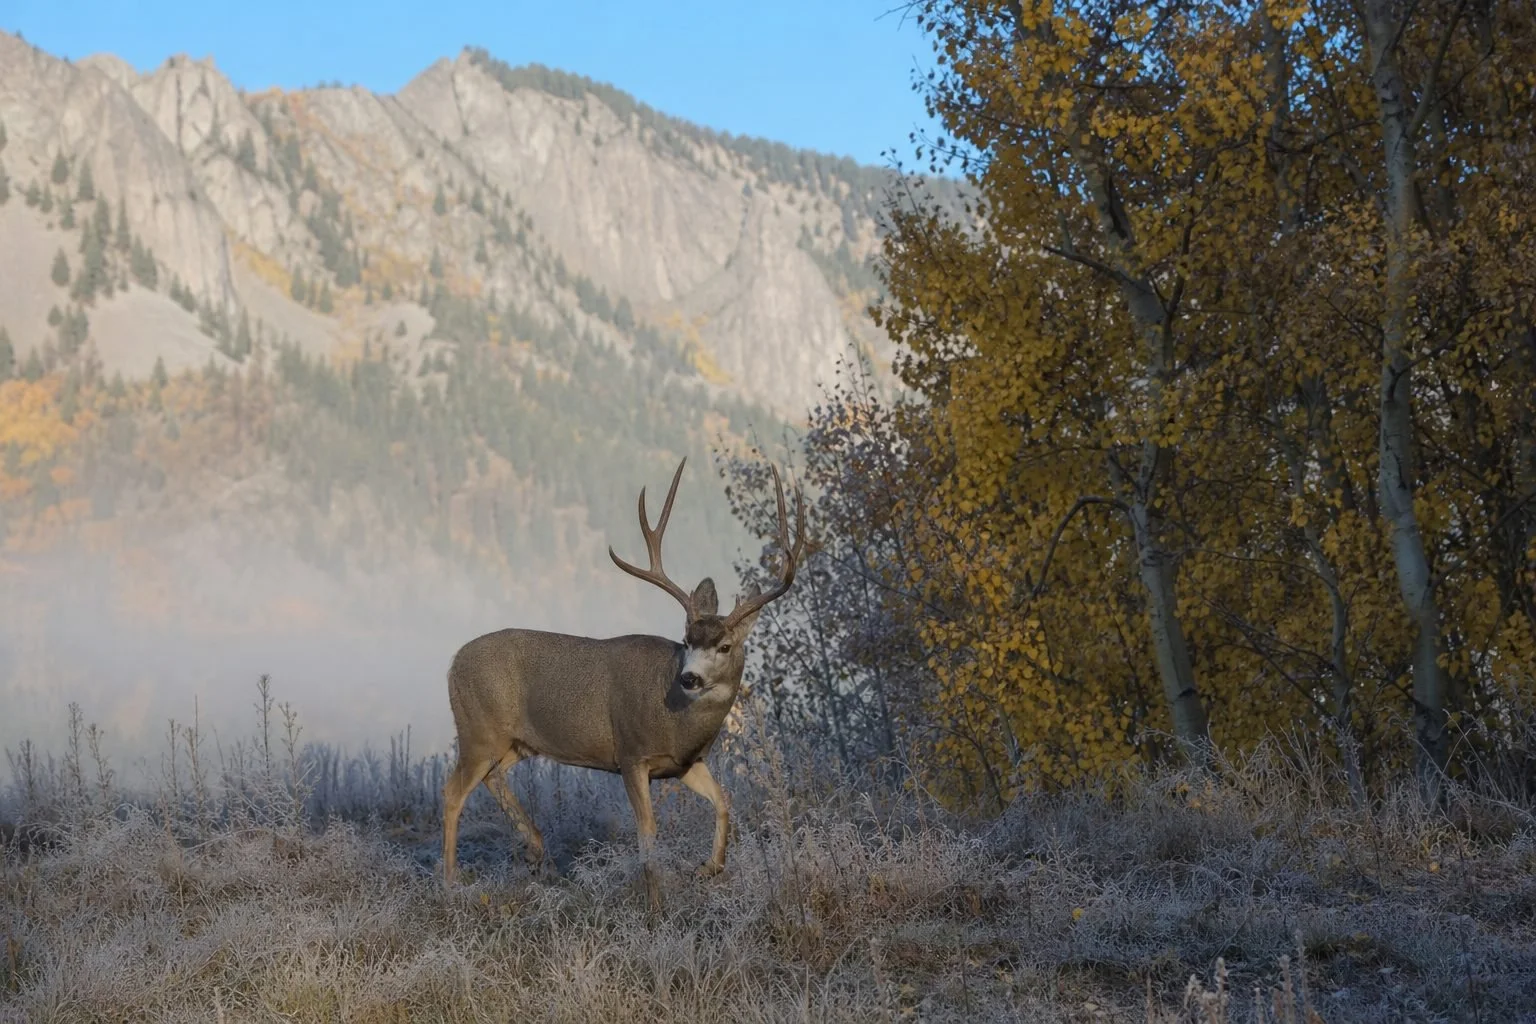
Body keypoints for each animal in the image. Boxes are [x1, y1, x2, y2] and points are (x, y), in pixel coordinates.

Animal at [440, 457, 806, 910]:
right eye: (687, 639)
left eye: (723, 645)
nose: (690, 677)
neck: (678, 722)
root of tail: (452, 664)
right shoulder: (631, 754)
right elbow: (647, 833)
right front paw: (656, 905)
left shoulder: (685, 763)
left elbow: (724, 801)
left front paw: (709, 867)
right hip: (477, 729)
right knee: (452, 794)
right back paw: (451, 883)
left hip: (513, 742)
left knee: (491, 779)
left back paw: (535, 850)